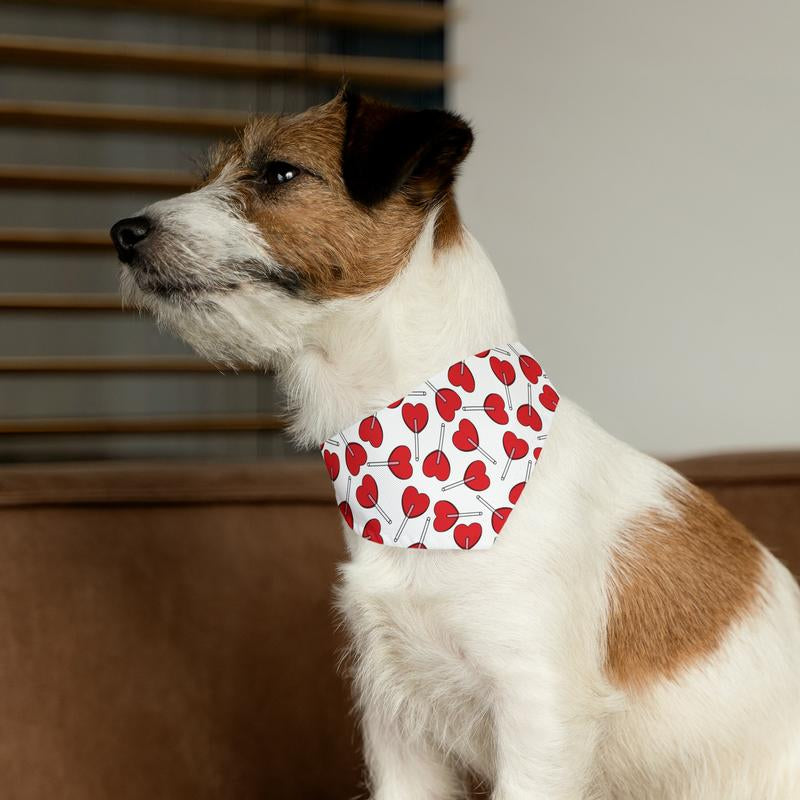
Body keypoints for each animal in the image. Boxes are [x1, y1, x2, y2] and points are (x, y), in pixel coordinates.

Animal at [111, 90, 800, 796]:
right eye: (210, 175)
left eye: (279, 172)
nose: (123, 233)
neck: (412, 461)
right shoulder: (398, 726)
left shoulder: (538, 716)